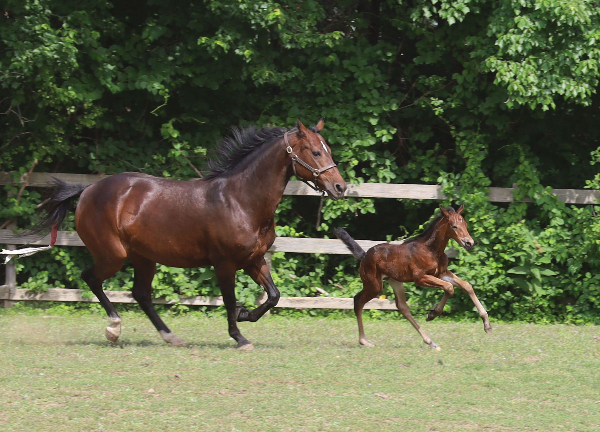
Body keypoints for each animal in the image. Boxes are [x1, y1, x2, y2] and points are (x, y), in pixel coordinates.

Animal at [22, 120, 346, 350]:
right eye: (315, 152)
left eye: (328, 150)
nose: (340, 187)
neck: (241, 200)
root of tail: (88, 190)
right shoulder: (225, 263)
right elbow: (230, 300)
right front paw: (240, 337)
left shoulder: (253, 259)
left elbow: (274, 296)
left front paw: (246, 316)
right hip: (113, 255)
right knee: (92, 278)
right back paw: (114, 328)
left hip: (143, 257)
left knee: (140, 294)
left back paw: (171, 337)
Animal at [336, 204, 490, 350]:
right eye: (454, 226)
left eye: (465, 224)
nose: (469, 243)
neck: (431, 250)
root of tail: (364, 256)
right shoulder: (420, 278)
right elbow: (449, 288)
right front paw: (432, 315)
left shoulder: (442, 273)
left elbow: (466, 285)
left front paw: (487, 325)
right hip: (374, 285)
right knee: (358, 301)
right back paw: (364, 341)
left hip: (395, 282)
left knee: (402, 307)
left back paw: (431, 342)